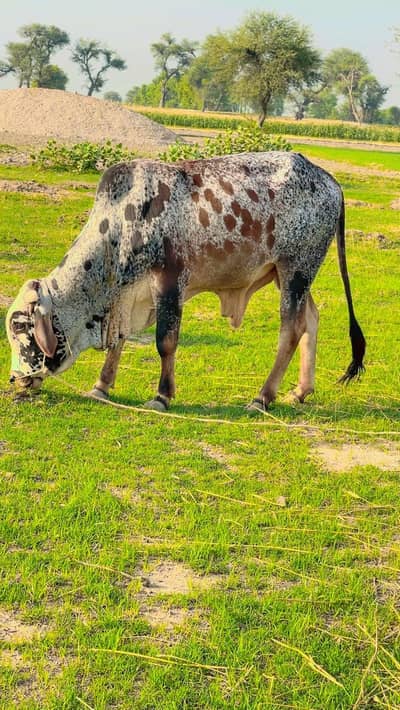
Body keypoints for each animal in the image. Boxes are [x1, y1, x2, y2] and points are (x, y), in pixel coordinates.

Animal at [6, 152, 365, 411]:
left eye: (20, 326)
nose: (15, 379)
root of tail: (329, 180)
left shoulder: (169, 281)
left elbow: (165, 341)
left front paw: (161, 396)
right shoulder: (128, 295)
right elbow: (120, 340)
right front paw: (101, 386)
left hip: (296, 269)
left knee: (290, 330)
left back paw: (262, 397)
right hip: (289, 274)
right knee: (311, 320)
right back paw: (300, 391)